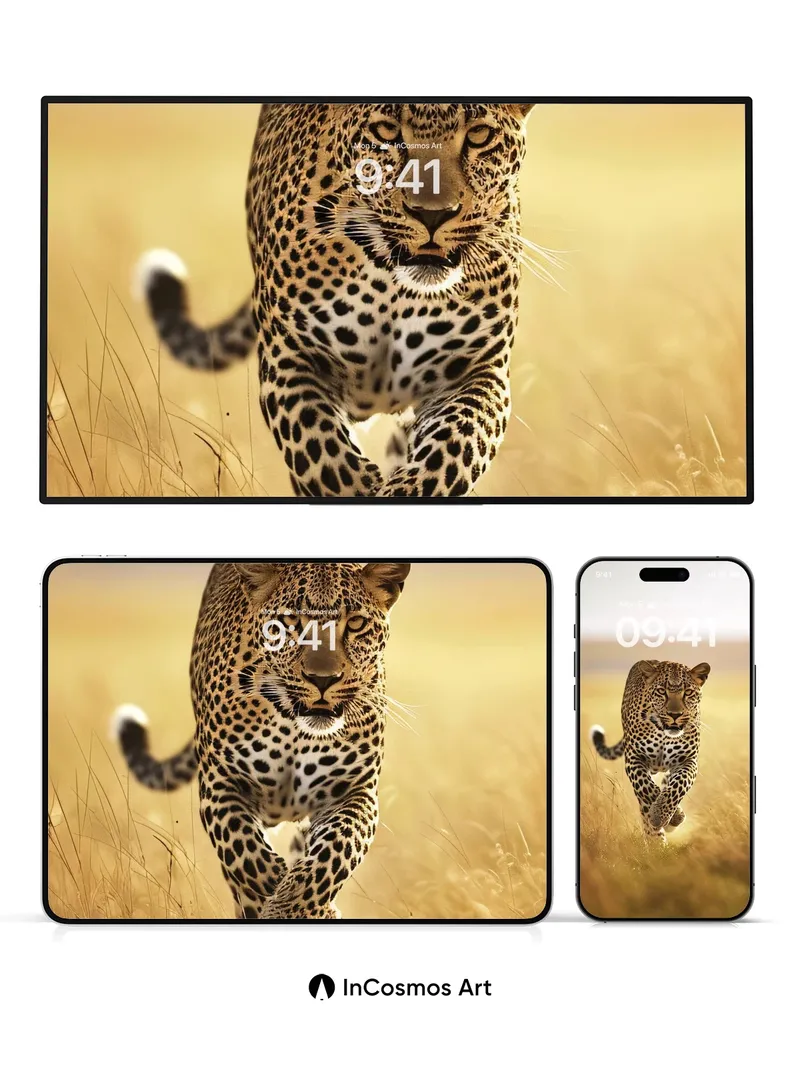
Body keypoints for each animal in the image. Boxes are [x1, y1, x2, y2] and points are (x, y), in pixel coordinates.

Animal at [112, 561, 410, 918]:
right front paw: (274, 897)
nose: (322, 679)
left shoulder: (354, 792)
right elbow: (248, 856)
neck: (295, 729)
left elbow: (330, 856)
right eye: (290, 623)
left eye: (356, 623)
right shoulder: (222, 785)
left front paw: (294, 905)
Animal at [135, 102, 535, 496]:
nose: (431, 215)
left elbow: (453, 450)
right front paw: (359, 486)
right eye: (386, 131)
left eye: (479, 135)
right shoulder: (291, 359)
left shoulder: (476, 371)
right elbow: (321, 452)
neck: (392, 287)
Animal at [590, 659, 711, 841]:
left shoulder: (688, 760)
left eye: (688, 693)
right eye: (662, 692)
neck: (663, 733)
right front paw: (666, 817)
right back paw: (656, 839)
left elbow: (677, 786)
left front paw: (665, 814)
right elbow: (647, 788)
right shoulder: (634, 758)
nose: (674, 714)